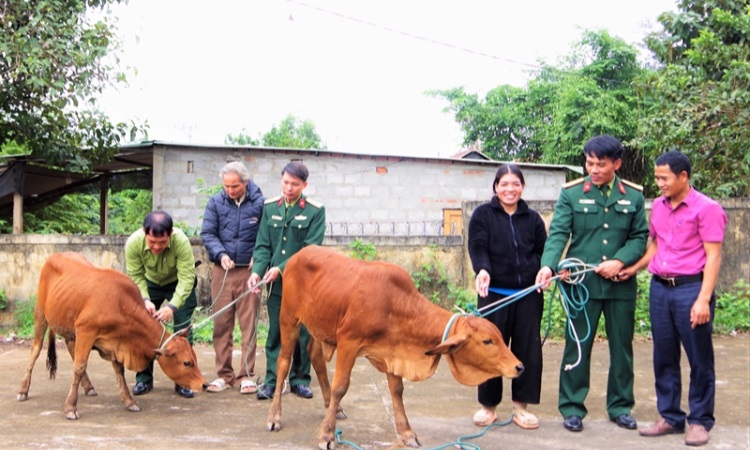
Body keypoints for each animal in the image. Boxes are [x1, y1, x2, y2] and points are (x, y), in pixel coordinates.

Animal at [17, 251, 206, 420]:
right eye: (187, 362)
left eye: (195, 358)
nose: (204, 384)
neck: (120, 305)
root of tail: (55, 255)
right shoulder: (86, 331)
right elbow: (79, 367)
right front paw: (70, 407)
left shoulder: (116, 343)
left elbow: (119, 372)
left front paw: (130, 402)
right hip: (40, 314)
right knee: (35, 350)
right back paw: (23, 390)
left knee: (70, 349)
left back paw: (88, 387)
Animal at [268, 246, 524, 450]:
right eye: (487, 341)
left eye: (499, 336)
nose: (519, 367)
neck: (394, 303)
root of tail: (298, 254)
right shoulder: (349, 342)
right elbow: (341, 386)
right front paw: (327, 435)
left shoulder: (392, 352)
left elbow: (397, 391)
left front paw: (406, 433)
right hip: (288, 317)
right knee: (283, 362)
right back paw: (275, 416)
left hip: (320, 327)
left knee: (315, 356)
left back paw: (333, 407)